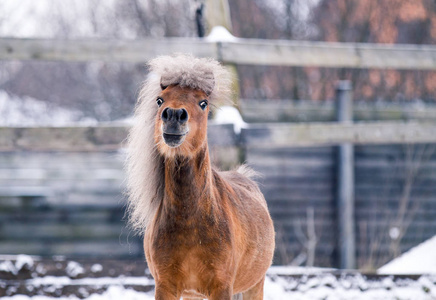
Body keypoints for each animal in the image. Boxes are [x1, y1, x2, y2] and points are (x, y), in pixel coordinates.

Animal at [126, 54, 274, 300]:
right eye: (159, 100)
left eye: (203, 103)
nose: (174, 115)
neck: (190, 221)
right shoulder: (166, 286)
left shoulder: (222, 287)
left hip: (255, 285)